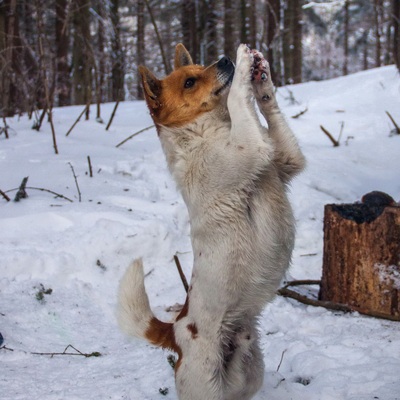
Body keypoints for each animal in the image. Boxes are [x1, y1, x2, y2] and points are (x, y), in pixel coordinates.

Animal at [117, 44, 304, 400]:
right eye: (189, 82)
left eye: (199, 67)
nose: (225, 60)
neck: (208, 132)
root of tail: (175, 335)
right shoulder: (249, 148)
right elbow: (239, 101)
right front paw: (245, 64)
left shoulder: (286, 161)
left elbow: (266, 108)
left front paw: (261, 77)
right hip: (204, 385)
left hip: (250, 372)